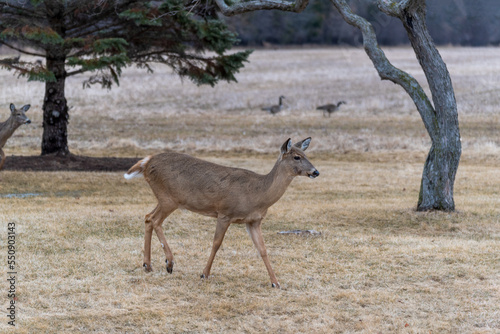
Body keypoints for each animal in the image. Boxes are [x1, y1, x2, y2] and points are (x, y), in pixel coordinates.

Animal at [125, 137, 320, 288]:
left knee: (148, 217)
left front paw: (275, 282)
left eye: (306, 155)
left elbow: (262, 249)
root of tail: (146, 162)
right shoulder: (225, 213)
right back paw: (169, 262)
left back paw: (148, 265)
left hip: (164, 199)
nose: (315, 171)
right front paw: (204, 274)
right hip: (169, 198)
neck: (258, 194)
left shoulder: (254, 221)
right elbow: (216, 243)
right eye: (296, 157)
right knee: (155, 220)